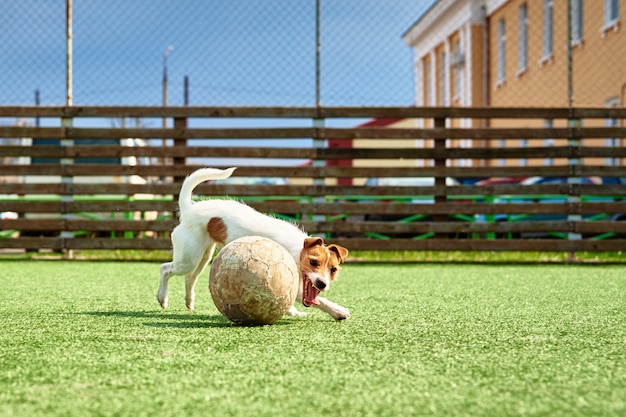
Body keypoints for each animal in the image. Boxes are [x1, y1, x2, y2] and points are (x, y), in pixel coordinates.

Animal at [155, 167, 348, 320]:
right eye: (313, 262)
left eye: (333, 270)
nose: (323, 284)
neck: (297, 250)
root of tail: (189, 208)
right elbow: (318, 300)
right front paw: (338, 311)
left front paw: (294, 311)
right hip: (188, 258)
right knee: (165, 269)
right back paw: (162, 298)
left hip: (203, 256)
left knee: (189, 278)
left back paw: (189, 302)